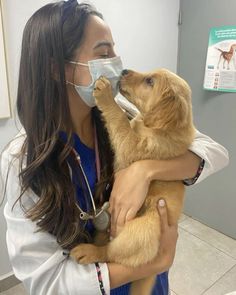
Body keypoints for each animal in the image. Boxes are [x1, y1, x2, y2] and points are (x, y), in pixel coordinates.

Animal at [70, 68, 195, 294]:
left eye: (150, 81)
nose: (124, 70)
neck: (155, 128)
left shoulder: (133, 146)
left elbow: (120, 120)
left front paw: (105, 95)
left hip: (143, 231)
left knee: (111, 253)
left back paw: (89, 250)